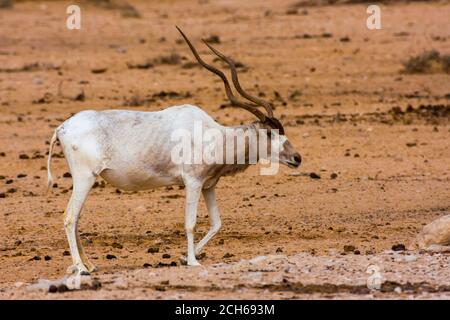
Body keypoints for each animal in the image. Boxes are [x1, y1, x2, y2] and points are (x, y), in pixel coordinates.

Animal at [47, 26, 302, 276]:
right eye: (269, 133)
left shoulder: (208, 185)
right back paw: (81, 268)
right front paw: (192, 261)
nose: (297, 158)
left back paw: (89, 264)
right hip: (85, 177)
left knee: (76, 218)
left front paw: (183, 257)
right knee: (70, 217)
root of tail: (62, 128)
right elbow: (190, 223)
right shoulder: (192, 182)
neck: (214, 136)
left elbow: (217, 223)